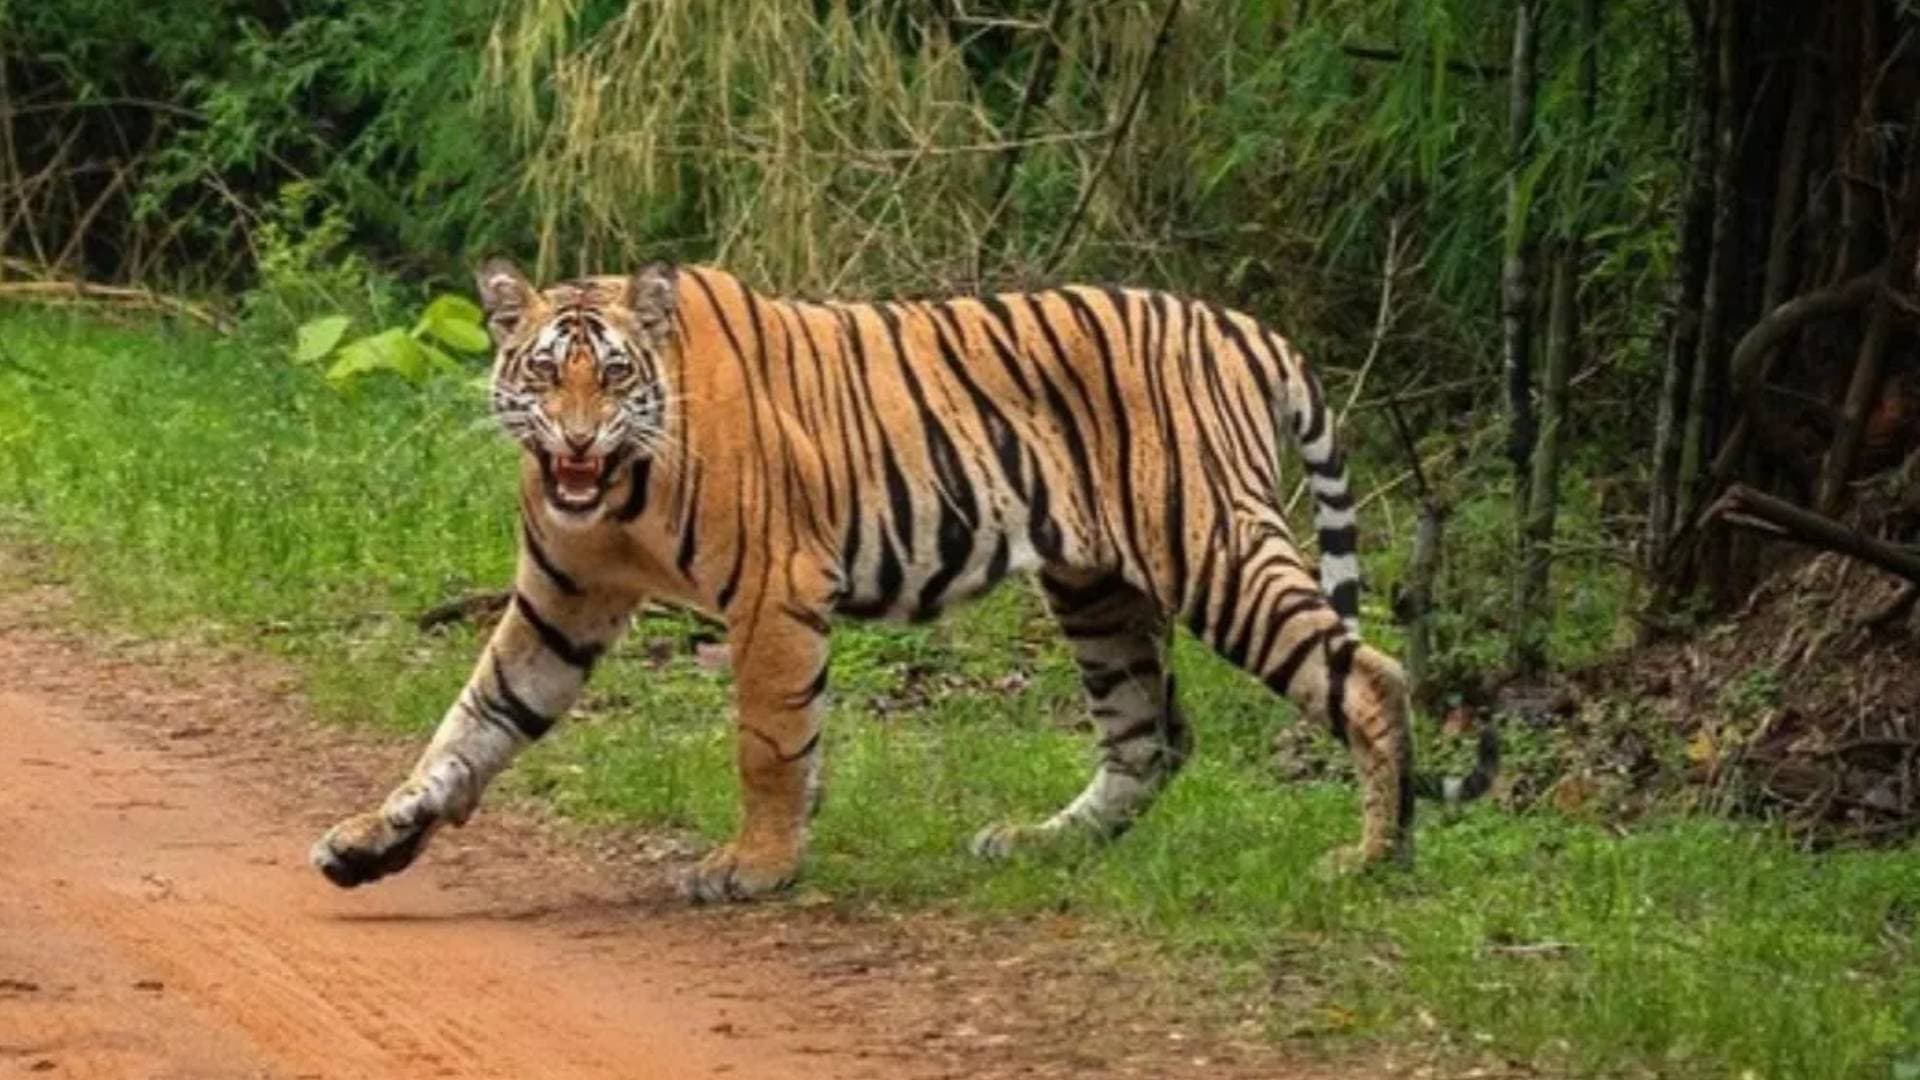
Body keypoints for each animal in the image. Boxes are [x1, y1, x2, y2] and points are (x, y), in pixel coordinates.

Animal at [310, 260, 1497, 901]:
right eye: (542, 374)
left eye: (610, 376)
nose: (574, 441)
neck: (616, 497)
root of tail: (1245, 326)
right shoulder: (560, 605)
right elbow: (470, 726)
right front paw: (371, 841)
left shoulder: (775, 591)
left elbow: (769, 741)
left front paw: (756, 867)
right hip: (1096, 587)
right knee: (1150, 735)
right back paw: (1038, 846)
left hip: (1212, 547)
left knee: (1368, 677)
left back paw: (1373, 859)